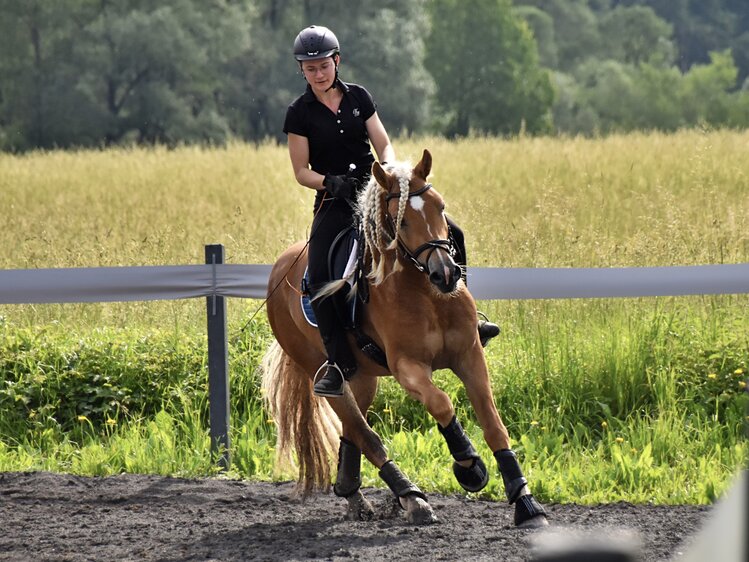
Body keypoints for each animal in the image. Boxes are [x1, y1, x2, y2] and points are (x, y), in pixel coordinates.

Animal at [260, 149, 548, 524]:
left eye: (440, 206)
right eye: (403, 222)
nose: (446, 274)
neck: (427, 293)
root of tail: (280, 267)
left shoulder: (470, 355)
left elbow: (493, 424)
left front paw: (525, 502)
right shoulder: (408, 366)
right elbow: (441, 403)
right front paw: (469, 467)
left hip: (362, 376)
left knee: (352, 430)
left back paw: (354, 495)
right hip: (320, 369)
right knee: (365, 433)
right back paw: (411, 498)